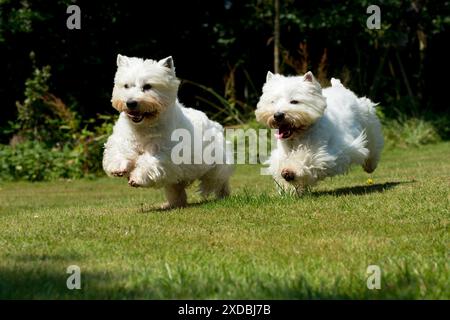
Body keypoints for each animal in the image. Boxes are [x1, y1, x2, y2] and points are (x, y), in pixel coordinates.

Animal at [103, 54, 234, 208]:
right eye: (126, 86)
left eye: (147, 86)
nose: (130, 103)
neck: (144, 126)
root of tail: (214, 123)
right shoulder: (124, 139)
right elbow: (120, 150)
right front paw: (118, 167)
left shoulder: (164, 152)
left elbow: (150, 161)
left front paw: (136, 178)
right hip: (177, 177)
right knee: (175, 189)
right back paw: (171, 204)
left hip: (216, 165)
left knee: (219, 181)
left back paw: (223, 196)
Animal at [256, 71, 384, 194]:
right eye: (272, 101)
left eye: (294, 101)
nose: (277, 115)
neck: (298, 136)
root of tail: (340, 87)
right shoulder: (281, 154)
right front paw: (290, 187)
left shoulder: (326, 152)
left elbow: (306, 158)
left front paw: (290, 171)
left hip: (369, 124)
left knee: (373, 146)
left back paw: (370, 166)